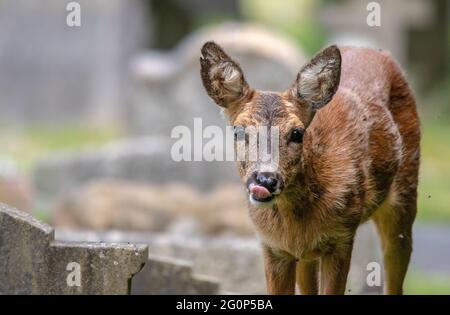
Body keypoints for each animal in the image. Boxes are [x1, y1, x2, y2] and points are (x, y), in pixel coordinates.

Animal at [199, 42, 420, 296]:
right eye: (238, 131)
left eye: (297, 133)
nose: (265, 180)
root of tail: (373, 50)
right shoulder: (272, 246)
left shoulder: (343, 236)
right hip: (307, 256)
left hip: (404, 196)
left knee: (395, 274)